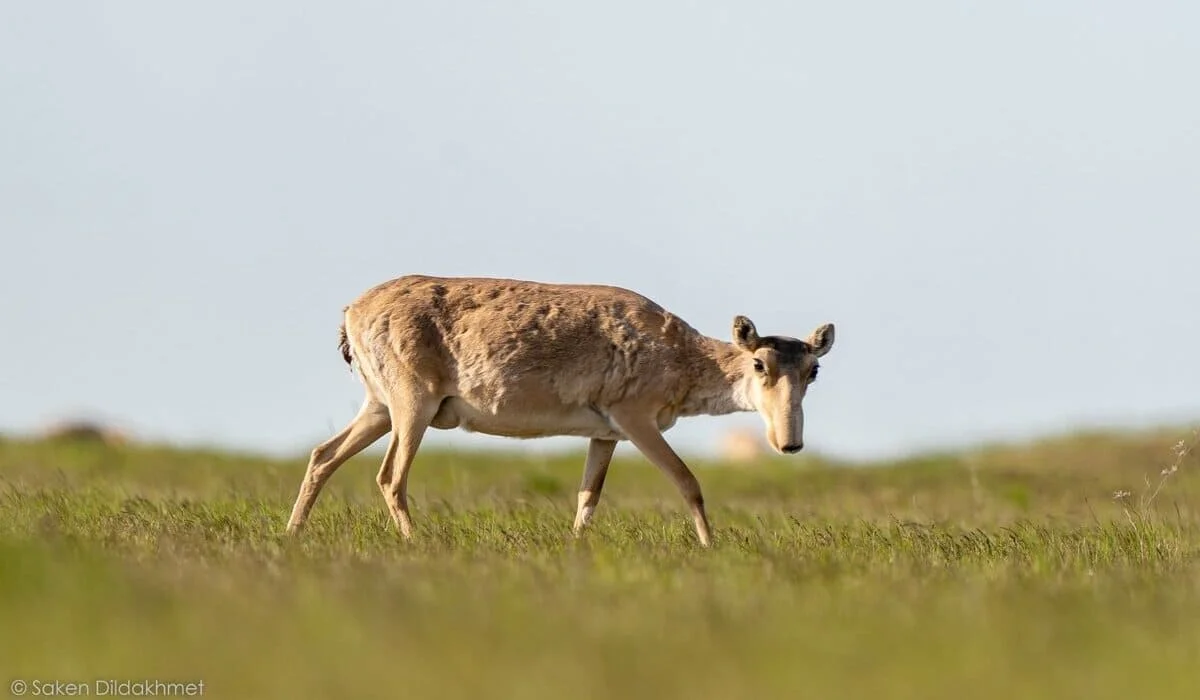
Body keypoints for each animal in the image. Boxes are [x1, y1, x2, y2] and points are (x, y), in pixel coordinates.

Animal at [288, 276, 835, 549]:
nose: (790, 443)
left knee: (323, 455)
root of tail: (351, 311)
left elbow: (588, 495)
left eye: (814, 370)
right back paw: (415, 543)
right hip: (411, 405)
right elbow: (687, 481)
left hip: (378, 406)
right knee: (390, 475)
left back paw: (293, 535)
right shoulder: (636, 419)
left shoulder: (606, 434)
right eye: (759, 363)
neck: (682, 356)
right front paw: (709, 547)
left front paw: (577, 545)